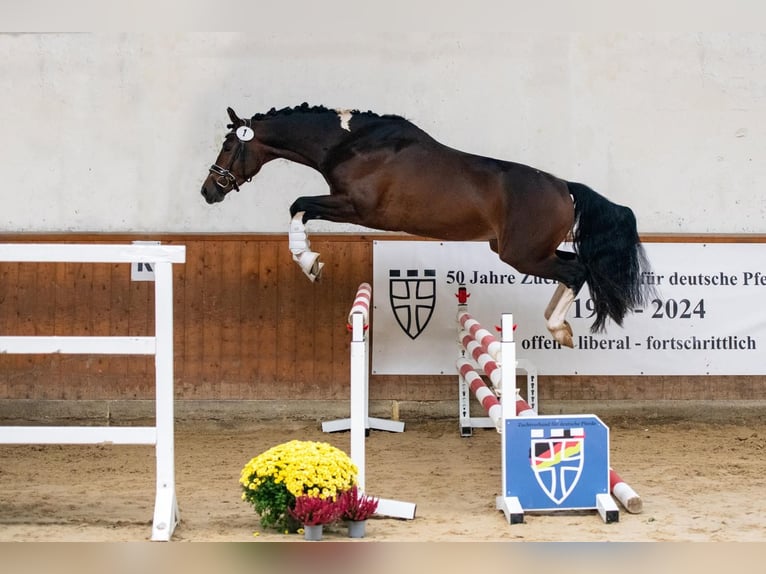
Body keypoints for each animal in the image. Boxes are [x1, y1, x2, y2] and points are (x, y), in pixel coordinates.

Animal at [200, 103, 656, 346]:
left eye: (228, 144)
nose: (208, 192)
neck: (351, 143)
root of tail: (564, 187)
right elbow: (299, 207)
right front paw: (310, 261)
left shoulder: (358, 209)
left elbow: (298, 206)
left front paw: (309, 263)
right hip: (523, 251)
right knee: (573, 268)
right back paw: (558, 324)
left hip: (522, 255)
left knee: (577, 271)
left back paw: (557, 327)